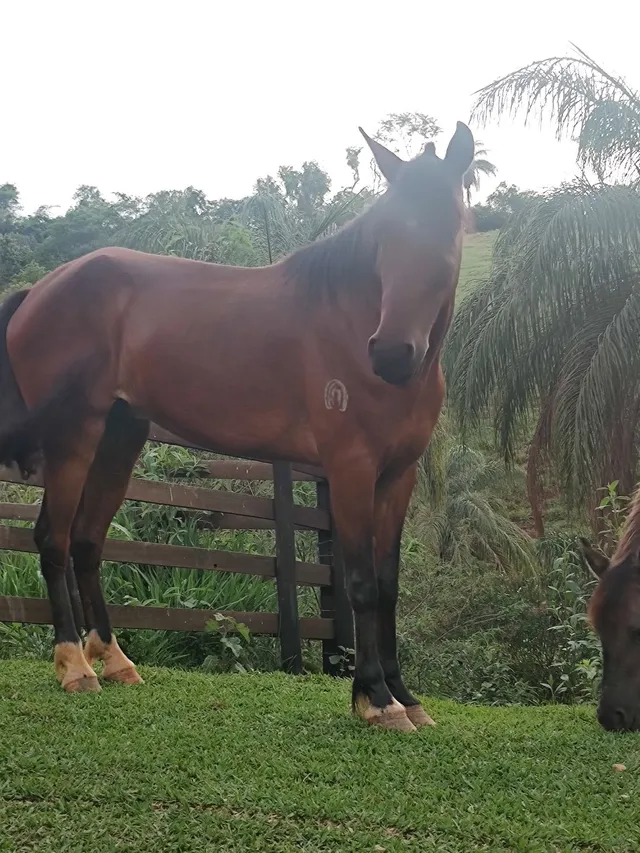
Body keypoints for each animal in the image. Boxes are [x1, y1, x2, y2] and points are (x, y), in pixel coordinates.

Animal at [0, 121, 474, 732]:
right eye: (385, 231)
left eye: (449, 223)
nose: (391, 353)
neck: (350, 319)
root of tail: (40, 290)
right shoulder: (350, 468)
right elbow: (362, 584)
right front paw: (375, 699)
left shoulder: (399, 475)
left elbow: (389, 586)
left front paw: (405, 697)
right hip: (74, 435)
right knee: (52, 539)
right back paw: (75, 668)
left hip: (120, 436)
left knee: (86, 541)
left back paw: (115, 660)